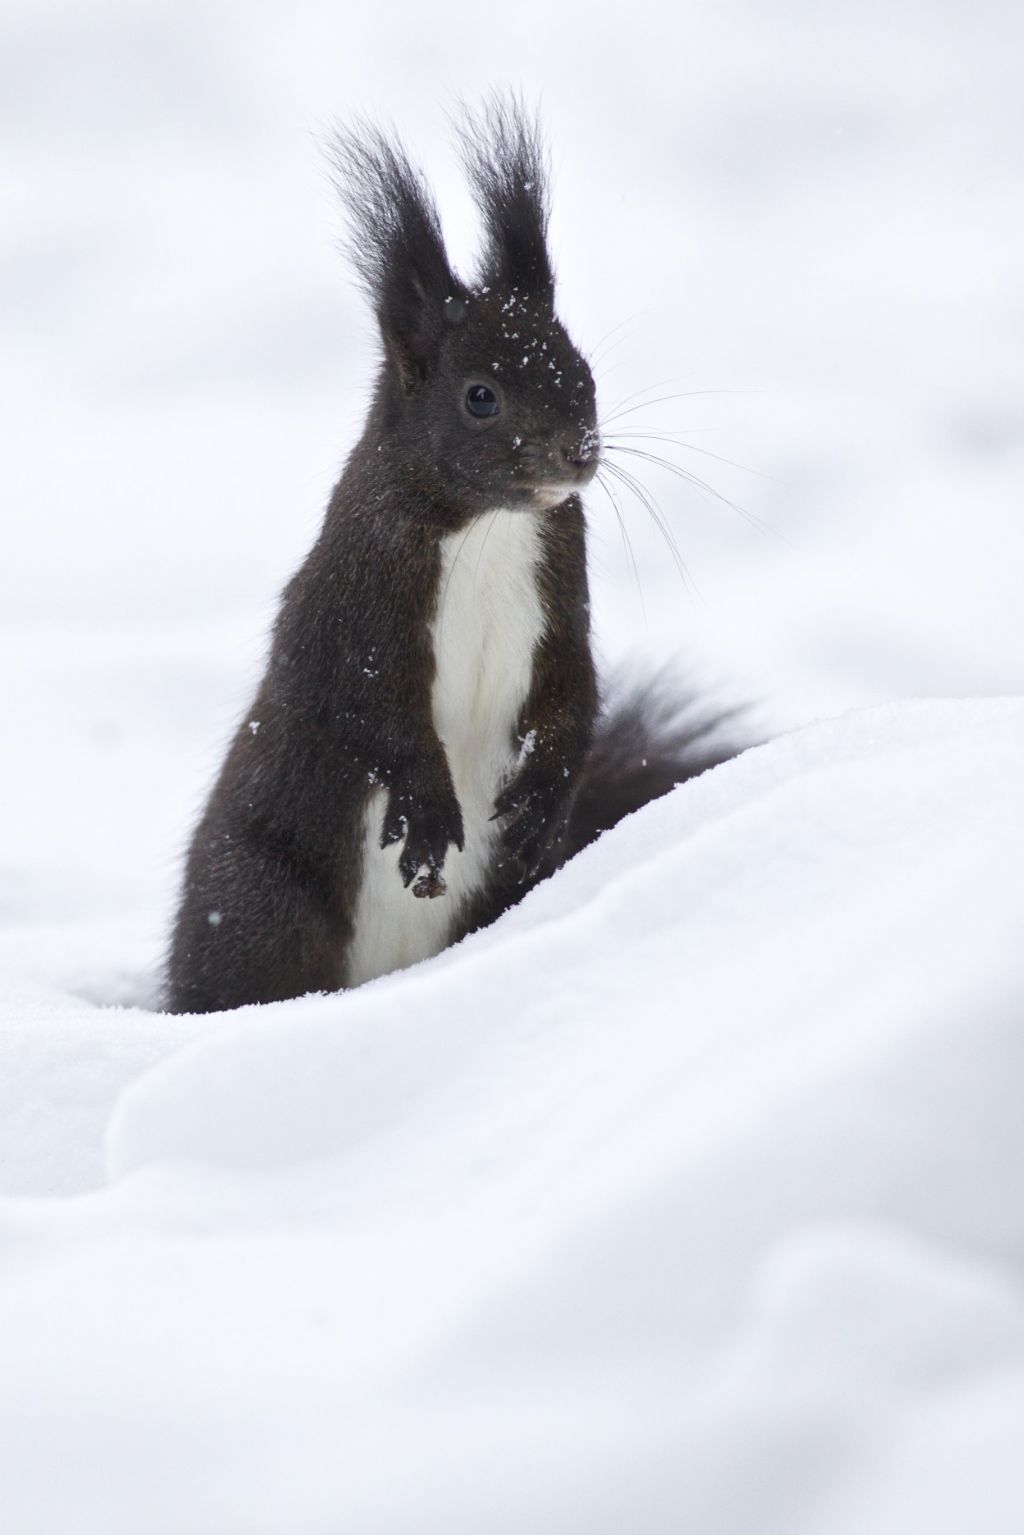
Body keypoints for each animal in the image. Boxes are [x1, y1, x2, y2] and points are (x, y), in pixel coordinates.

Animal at [164, 95, 733, 1013]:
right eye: (480, 397)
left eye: (583, 370)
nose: (578, 451)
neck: (491, 524)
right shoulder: (351, 600)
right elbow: (362, 704)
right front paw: (429, 809)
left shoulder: (562, 606)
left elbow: (574, 693)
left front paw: (543, 796)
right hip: (261, 901)